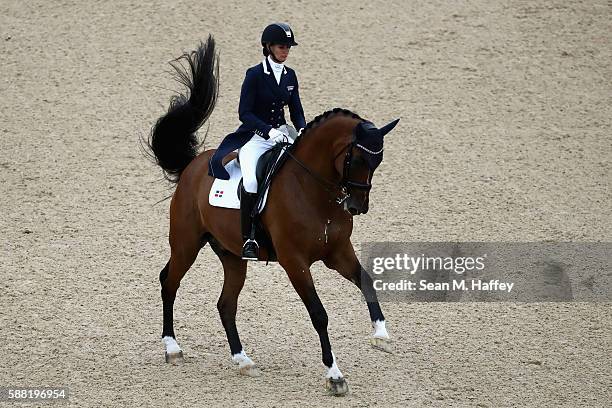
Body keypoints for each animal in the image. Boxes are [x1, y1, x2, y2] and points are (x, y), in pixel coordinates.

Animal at [146, 36, 400, 396]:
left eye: (377, 162)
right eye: (358, 159)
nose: (356, 206)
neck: (314, 190)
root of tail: (191, 167)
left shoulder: (337, 252)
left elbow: (366, 281)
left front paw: (381, 335)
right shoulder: (295, 261)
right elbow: (319, 315)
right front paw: (335, 375)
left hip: (232, 256)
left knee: (225, 304)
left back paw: (243, 361)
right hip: (186, 242)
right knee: (169, 281)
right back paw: (172, 348)